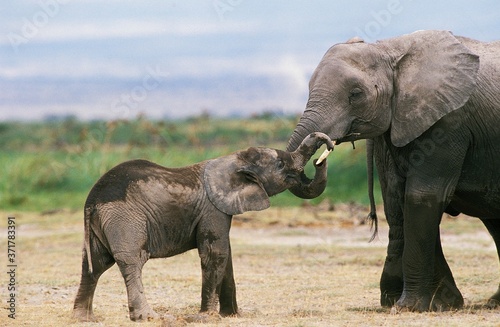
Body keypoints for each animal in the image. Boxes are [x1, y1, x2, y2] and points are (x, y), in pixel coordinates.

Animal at [72, 133, 334, 322]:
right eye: (280, 164)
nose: (326, 150)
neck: (233, 160)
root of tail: (91, 201)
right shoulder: (212, 209)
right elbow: (214, 254)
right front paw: (205, 317)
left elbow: (226, 255)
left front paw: (231, 316)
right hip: (125, 219)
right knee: (132, 261)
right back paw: (147, 317)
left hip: (102, 224)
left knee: (93, 265)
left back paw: (84, 319)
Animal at [288, 30, 500, 312]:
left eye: (356, 94)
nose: (324, 145)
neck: (390, 50)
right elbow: (397, 199)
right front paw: (441, 303)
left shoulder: (449, 122)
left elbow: (422, 197)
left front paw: (408, 307)